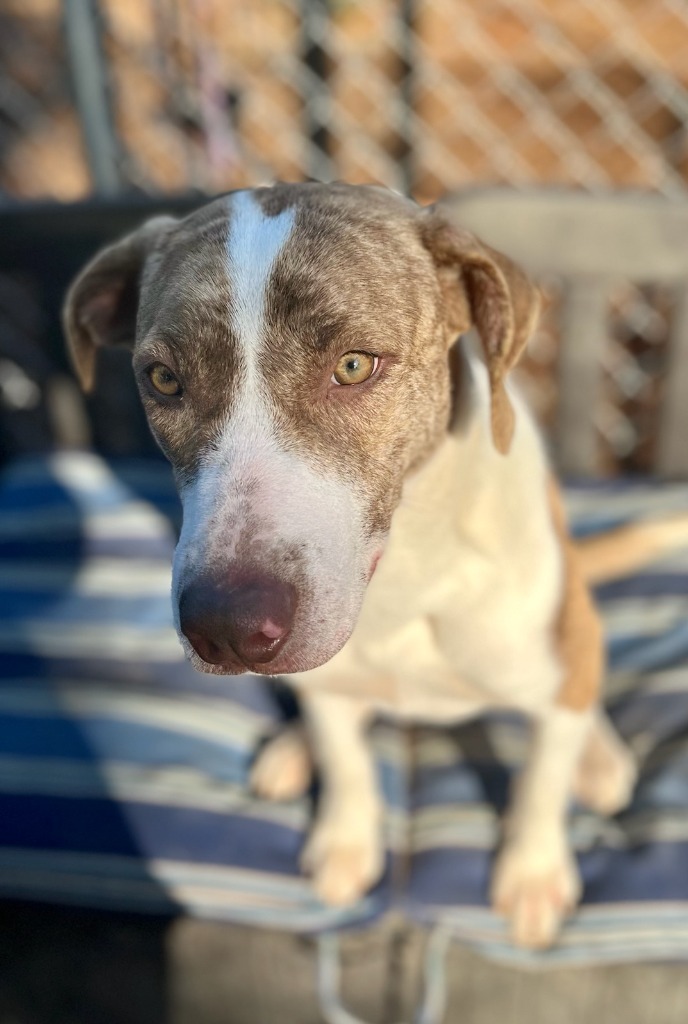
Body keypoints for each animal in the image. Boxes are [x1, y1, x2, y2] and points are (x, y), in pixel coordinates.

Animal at [64, 178, 683, 950]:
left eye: (355, 365)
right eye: (164, 380)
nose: (227, 627)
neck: (404, 575)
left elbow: (540, 782)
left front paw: (533, 873)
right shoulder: (330, 685)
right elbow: (347, 759)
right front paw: (345, 840)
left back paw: (597, 756)